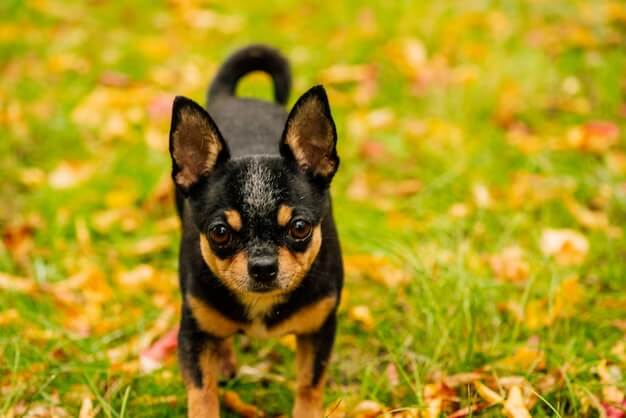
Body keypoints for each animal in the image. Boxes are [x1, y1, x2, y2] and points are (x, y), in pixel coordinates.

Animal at [169, 45, 342, 418]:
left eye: (299, 227)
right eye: (220, 233)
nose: (263, 267)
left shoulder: (319, 330)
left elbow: (309, 386)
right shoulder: (192, 332)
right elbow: (202, 393)